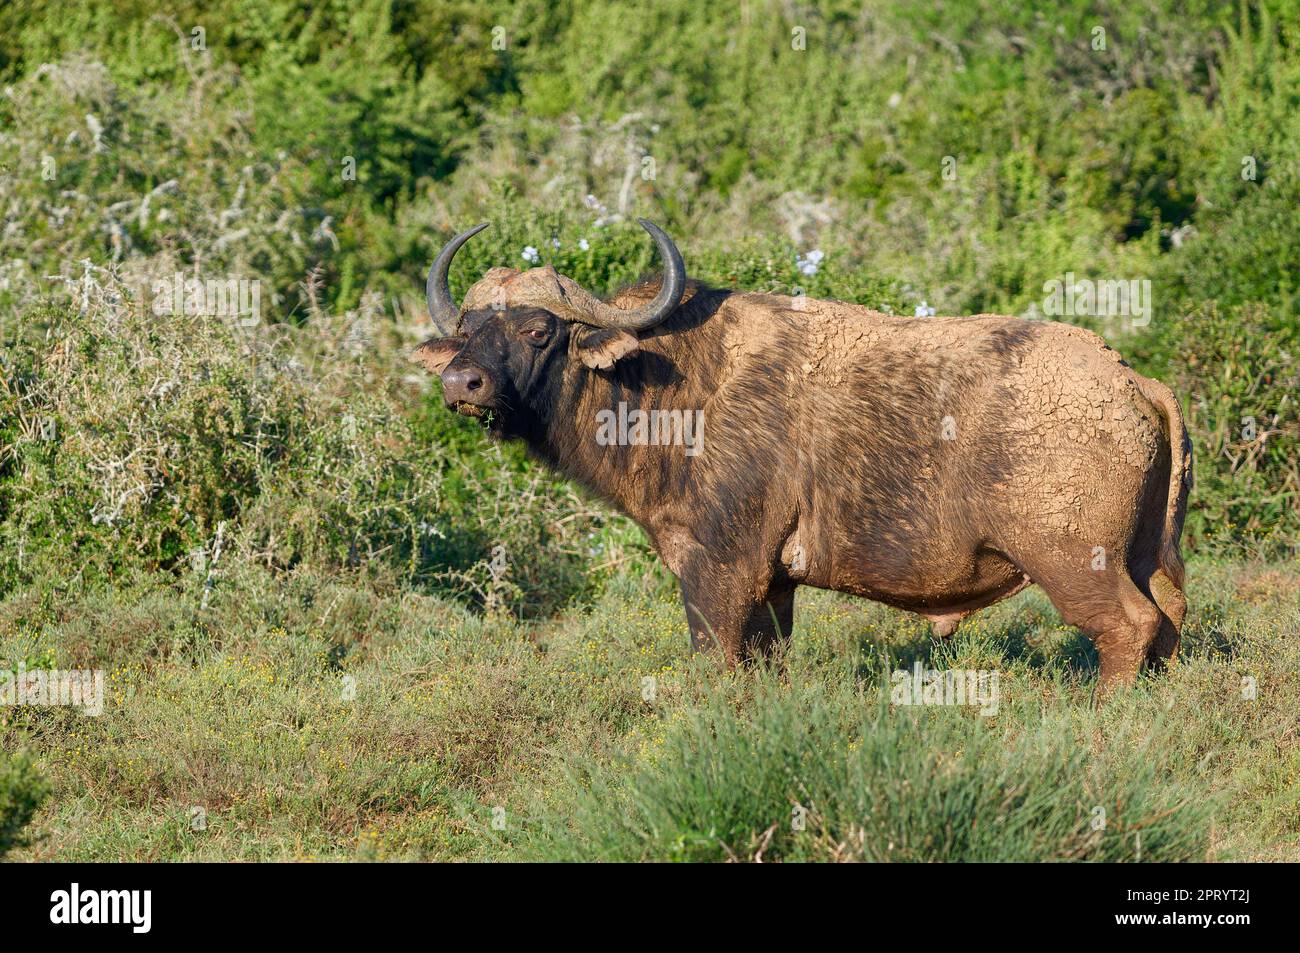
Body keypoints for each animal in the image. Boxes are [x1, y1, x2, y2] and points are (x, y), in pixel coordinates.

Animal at [413, 221, 1191, 697]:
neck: (676, 387)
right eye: (469, 329)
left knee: (1128, 628)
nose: (461, 384)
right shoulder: (774, 588)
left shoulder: (718, 571)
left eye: (538, 329)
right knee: (1169, 621)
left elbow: (716, 661)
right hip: (1149, 557)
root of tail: (1131, 381)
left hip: (1074, 563)